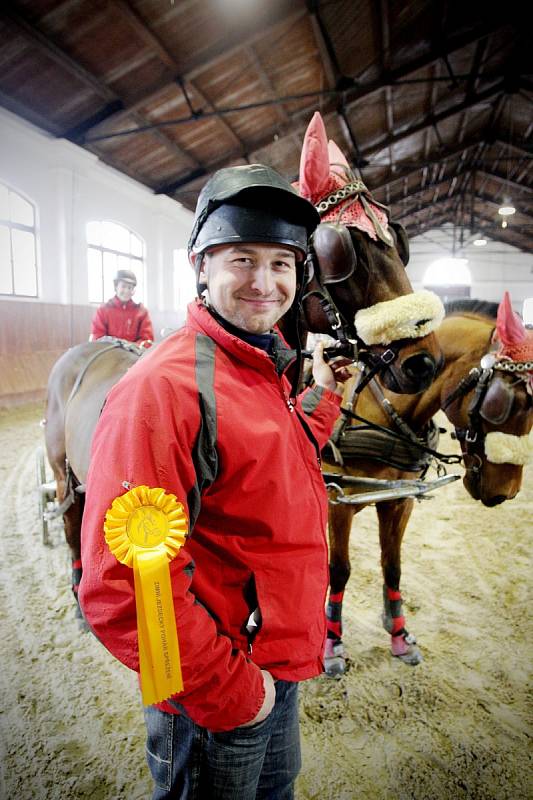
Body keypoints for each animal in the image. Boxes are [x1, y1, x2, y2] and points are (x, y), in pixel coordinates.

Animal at [324, 296, 532, 672]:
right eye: (509, 403)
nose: (506, 492)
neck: (380, 413)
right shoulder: (338, 502)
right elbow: (340, 570)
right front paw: (332, 643)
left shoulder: (398, 501)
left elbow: (393, 567)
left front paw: (399, 634)